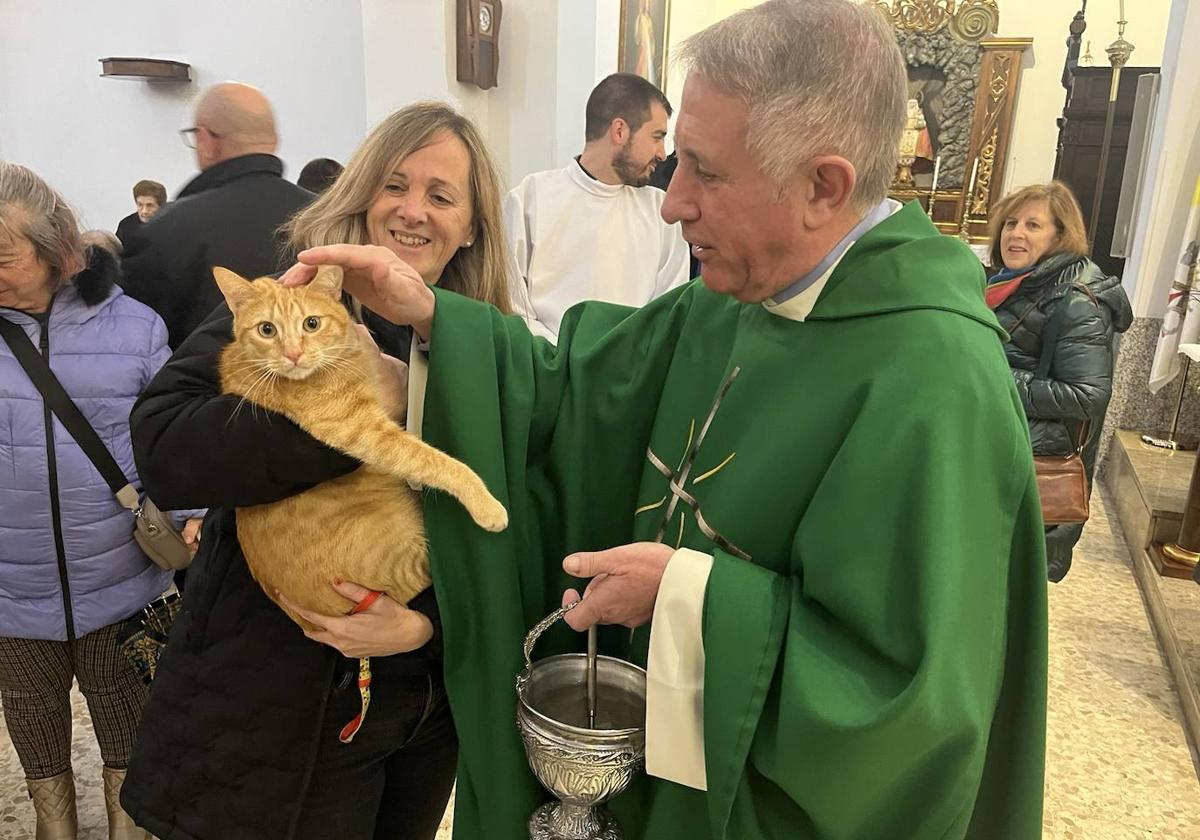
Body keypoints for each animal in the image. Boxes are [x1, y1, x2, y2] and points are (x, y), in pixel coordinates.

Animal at [213, 264, 504, 628]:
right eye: (267, 329)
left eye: (311, 323)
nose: (293, 354)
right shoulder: (365, 429)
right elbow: (433, 460)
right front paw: (486, 504)